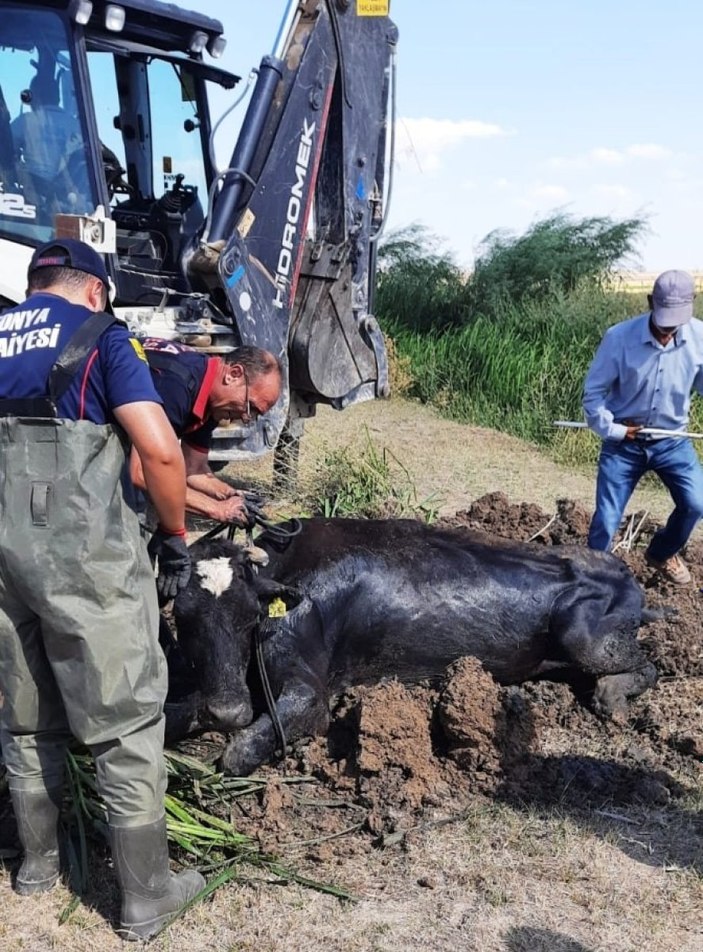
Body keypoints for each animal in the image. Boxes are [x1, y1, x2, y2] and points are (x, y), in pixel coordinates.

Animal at [168, 516, 664, 776]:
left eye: (250, 614)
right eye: (183, 618)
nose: (227, 711)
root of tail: (628, 575)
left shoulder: (311, 696)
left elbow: (238, 751)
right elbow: (176, 713)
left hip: (585, 638)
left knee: (650, 665)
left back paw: (611, 694)